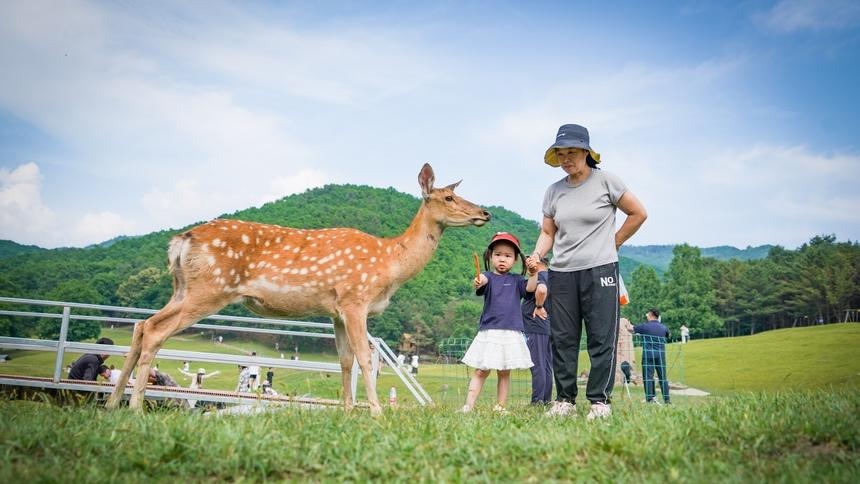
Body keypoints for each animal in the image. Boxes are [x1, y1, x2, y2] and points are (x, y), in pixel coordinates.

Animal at [105, 164, 491, 415]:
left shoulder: (336, 310)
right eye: (448, 197)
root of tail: (179, 242)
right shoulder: (355, 298)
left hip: (182, 288)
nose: (485, 212)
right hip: (209, 289)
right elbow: (365, 357)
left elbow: (345, 359)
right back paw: (134, 408)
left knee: (141, 325)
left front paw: (347, 411)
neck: (389, 263)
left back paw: (111, 403)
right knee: (156, 330)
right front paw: (377, 413)